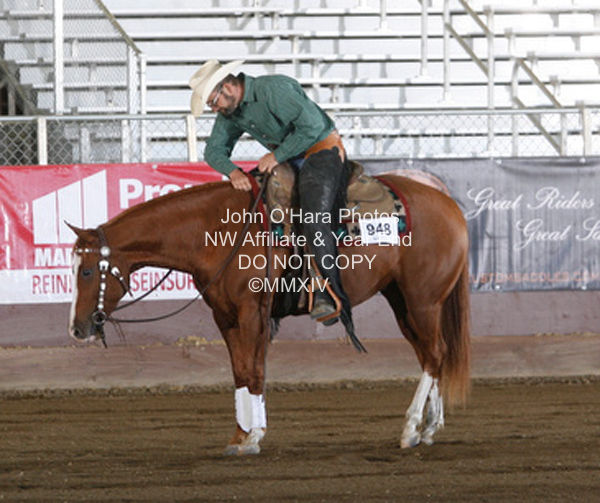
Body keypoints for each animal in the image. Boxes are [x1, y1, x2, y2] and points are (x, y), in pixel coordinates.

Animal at [68, 171, 470, 454]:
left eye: (86, 271)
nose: (76, 329)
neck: (215, 229)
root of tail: (448, 203)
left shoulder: (252, 312)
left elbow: (253, 370)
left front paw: (253, 436)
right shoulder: (225, 316)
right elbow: (240, 372)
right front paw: (240, 435)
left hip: (422, 300)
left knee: (434, 354)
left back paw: (411, 428)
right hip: (403, 300)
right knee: (432, 355)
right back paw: (428, 429)